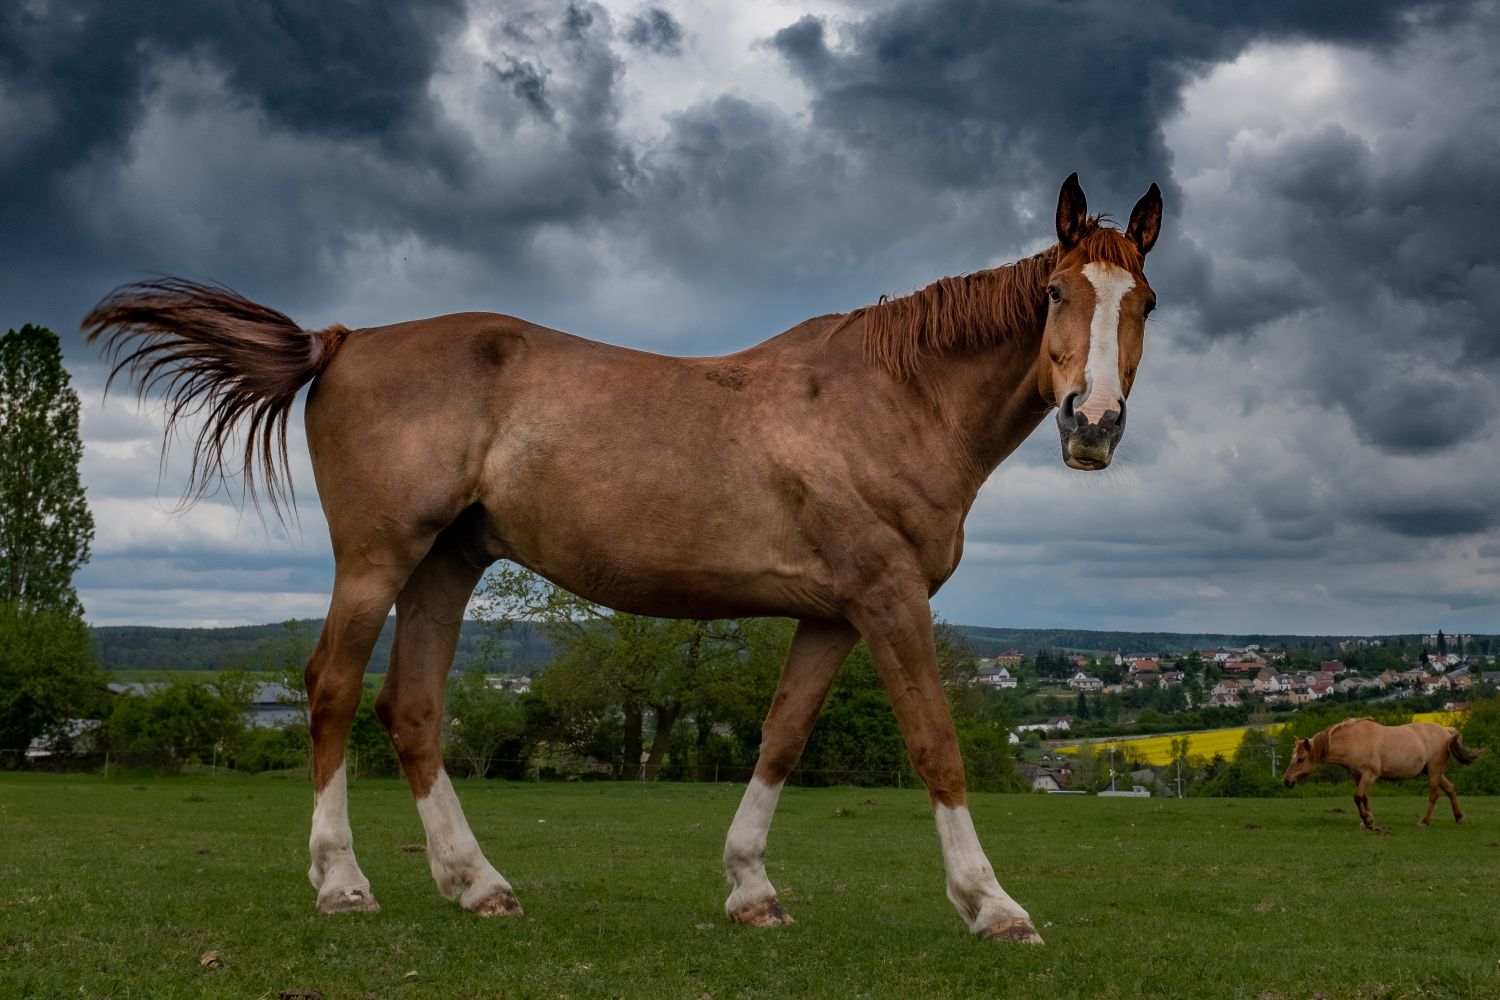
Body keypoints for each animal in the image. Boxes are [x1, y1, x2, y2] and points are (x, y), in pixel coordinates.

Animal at [82, 173, 1164, 947]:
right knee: (333, 690)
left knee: (413, 707)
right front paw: (992, 904)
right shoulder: (889, 599)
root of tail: (341, 342)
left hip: (446, 565)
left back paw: (477, 884)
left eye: (1145, 301)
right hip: (379, 558)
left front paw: (750, 889)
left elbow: (780, 738)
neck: (889, 398)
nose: (1095, 425)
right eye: (1056, 291)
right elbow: (935, 745)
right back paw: (344, 885)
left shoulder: (831, 612)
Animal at [1284, 719, 1482, 827]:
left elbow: (1357, 796)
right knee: (1450, 789)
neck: (1353, 740)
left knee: (1434, 795)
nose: (1286, 781)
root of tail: (1446, 731)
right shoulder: (1358, 776)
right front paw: (1368, 821)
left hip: (1434, 770)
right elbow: (1363, 798)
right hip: (1434, 771)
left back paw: (1425, 822)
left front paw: (1367, 819)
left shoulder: (1370, 774)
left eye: (1300, 759)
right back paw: (1458, 817)